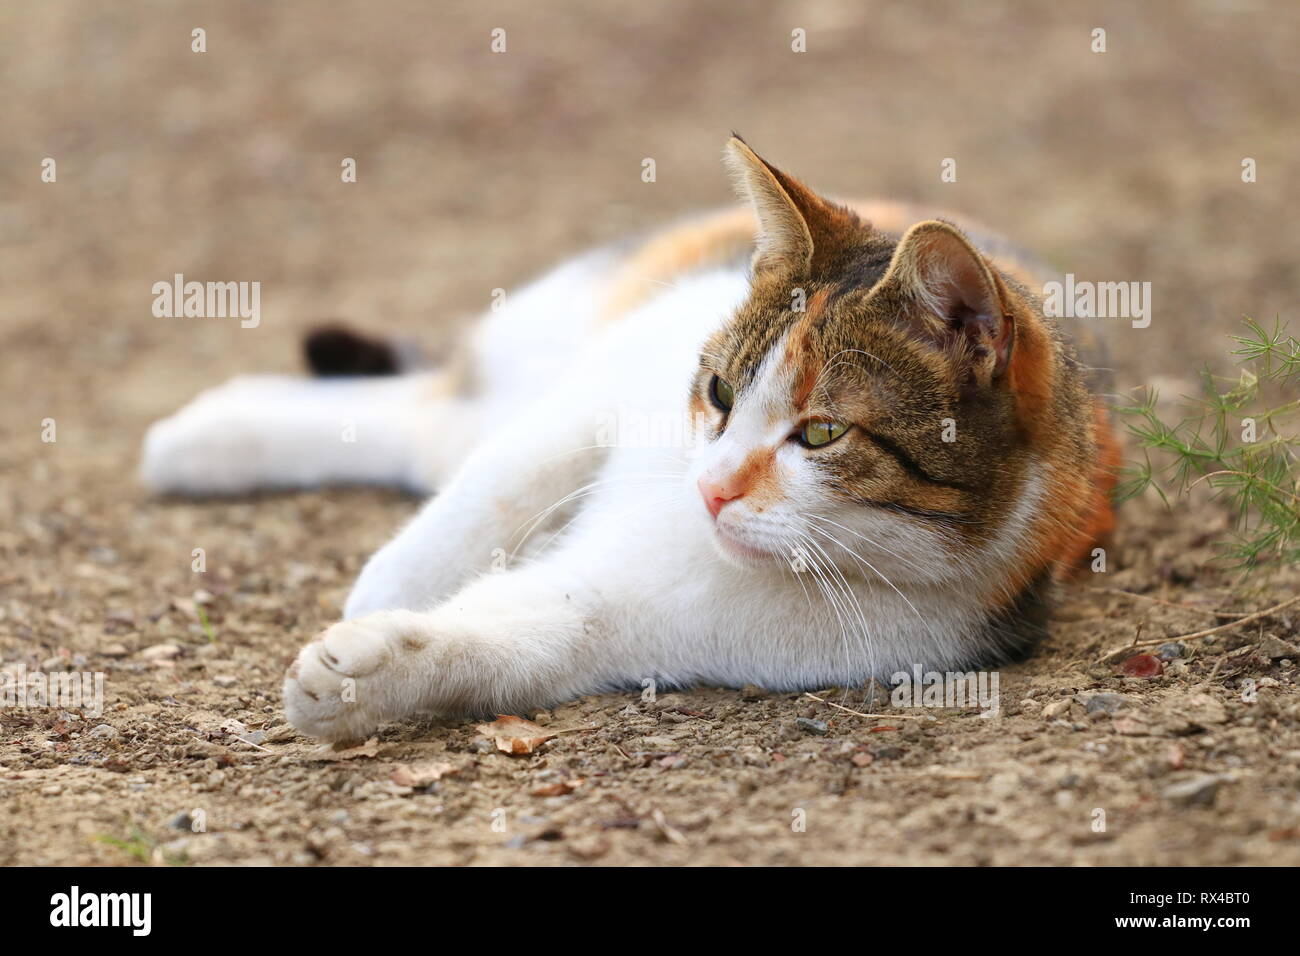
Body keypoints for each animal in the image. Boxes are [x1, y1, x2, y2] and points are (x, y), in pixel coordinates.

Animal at [139, 136, 1118, 749]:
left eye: (824, 432)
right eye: (719, 392)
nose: (712, 488)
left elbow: (532, 636)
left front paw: (374, 670)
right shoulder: (608, 385)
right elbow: (502, 483)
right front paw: (396, 581)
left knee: (430, 427)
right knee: (451, 425)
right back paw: (209, 437)